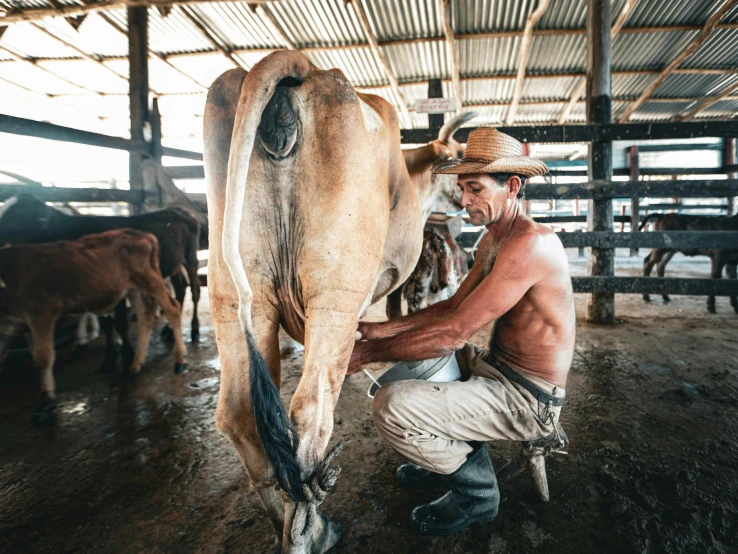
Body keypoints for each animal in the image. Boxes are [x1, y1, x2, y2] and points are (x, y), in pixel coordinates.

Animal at [0, 227, 187, 422]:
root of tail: (141, 234)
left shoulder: (41, 313)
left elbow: (43, 357)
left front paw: (45, 402)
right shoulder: (12, 324)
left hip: (150, 280)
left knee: (172, 308)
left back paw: (180, 360)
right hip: (133, 287)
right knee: (146, 316)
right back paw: (135, 365)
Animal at [201, 49, 466, 548]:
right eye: (460, 159)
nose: (464, 194)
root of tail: (297, 61)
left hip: (234, 295)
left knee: (240, 415)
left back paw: (293, 527)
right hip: (336, 289)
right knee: (309, 410)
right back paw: (309, 530)